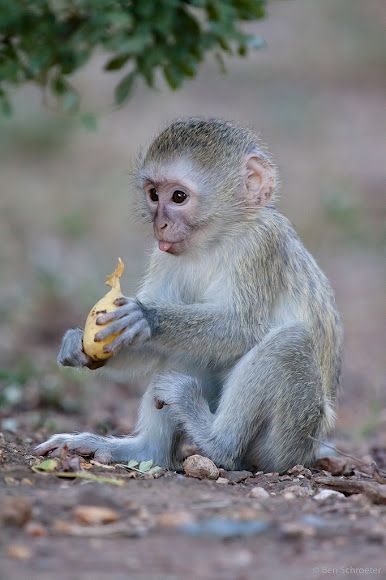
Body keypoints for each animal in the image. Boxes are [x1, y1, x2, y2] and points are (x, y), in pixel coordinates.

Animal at [34, 119, 342, 476]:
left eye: (178, 196)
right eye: (154, 195)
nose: (161, 225)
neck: (216, 240)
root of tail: (310, 450)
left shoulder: (262, 245)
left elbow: (244, 328)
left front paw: (147, 316)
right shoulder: (164, 255)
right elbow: (153, 347)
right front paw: (78, 346)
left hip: (288, 441)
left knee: (290, 341)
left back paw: (218, 443)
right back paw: (147, 451)